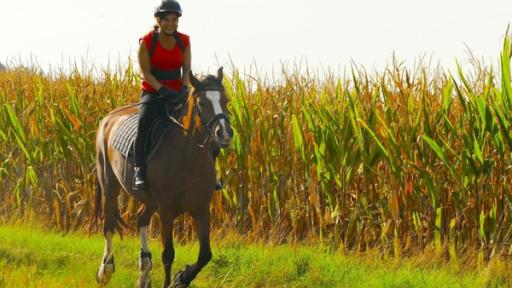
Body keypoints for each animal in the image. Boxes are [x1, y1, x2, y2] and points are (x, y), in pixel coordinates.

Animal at [93, 68, 233, 288]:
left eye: (225, 100)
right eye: (202, 103)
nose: (225, 134)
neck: (187, 158)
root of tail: (109, 117)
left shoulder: (202, 209)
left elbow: (205, 255)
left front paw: (181, 278)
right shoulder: (166, 212)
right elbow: (168, 255)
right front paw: (173, 281)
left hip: (149, 201)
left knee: (141, 219)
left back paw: (144, 273)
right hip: (109, 185)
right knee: (108, 224)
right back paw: (105, 271)